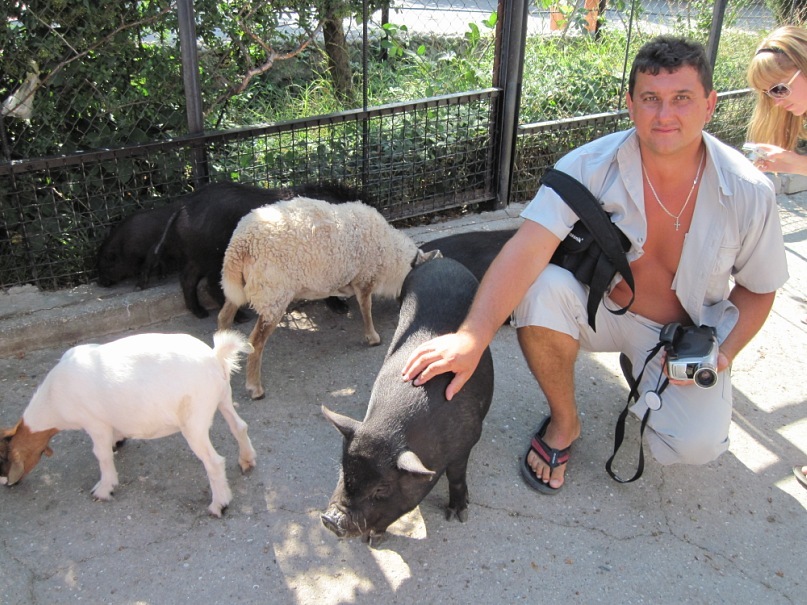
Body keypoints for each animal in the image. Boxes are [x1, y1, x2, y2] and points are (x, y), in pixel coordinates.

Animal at [0, 330, 257, 517]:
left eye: (4, 459)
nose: (7, 483)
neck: (53, 399)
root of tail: (214, 357)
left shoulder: (95, 423)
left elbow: (101, 455)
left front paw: (104, 489)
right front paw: (119, 441)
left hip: (194, 421)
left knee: (214, 461)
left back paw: (219, 504)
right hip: (223, 398)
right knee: (239, 426)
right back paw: (246, 461)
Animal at [217, 196, 441, 400]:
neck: (391, 255)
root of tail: (240, 243)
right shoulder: (365, 277)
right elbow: (366, 308)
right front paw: (373, 337)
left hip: (241, 286)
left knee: (224, 317)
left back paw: (223, 357)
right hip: (272, 293)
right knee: (256, 341)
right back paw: (255, 387)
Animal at [321, 256, 494, 544]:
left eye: (381, 489)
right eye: (343, 470)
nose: (330, 520)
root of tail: (442, 260)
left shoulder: (467, 441)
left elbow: (457, 476)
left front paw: (459, 515)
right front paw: (374, 539)